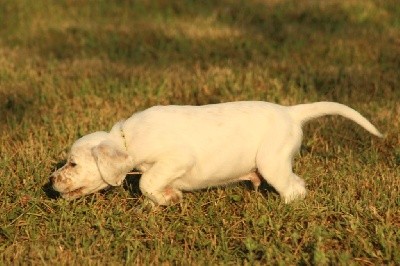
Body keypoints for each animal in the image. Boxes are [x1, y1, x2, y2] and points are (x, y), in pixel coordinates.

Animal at [50, 101, 382, 204]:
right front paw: (164, 199)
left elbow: (146, 182)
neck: (128, 138)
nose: (51, 181)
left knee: (295, 189)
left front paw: (168, 197)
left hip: (271, 162)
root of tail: (291, 112)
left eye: (72, 164)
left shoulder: (176, 159)